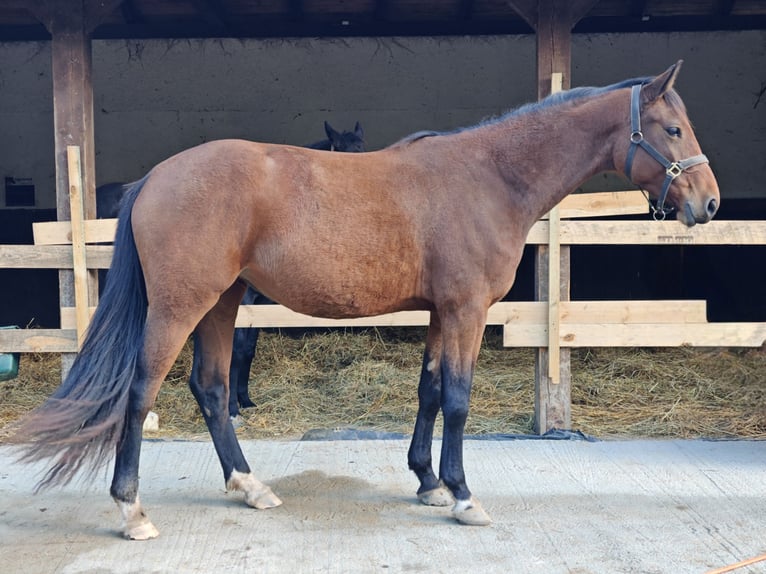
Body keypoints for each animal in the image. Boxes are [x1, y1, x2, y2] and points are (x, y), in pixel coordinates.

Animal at [96, 121, 366, 420]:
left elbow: (248, 349)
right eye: (339, 149)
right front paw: (234, 407)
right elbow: (237, 351)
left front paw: (245, 399)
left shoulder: (258, 304)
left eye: (362, 148)